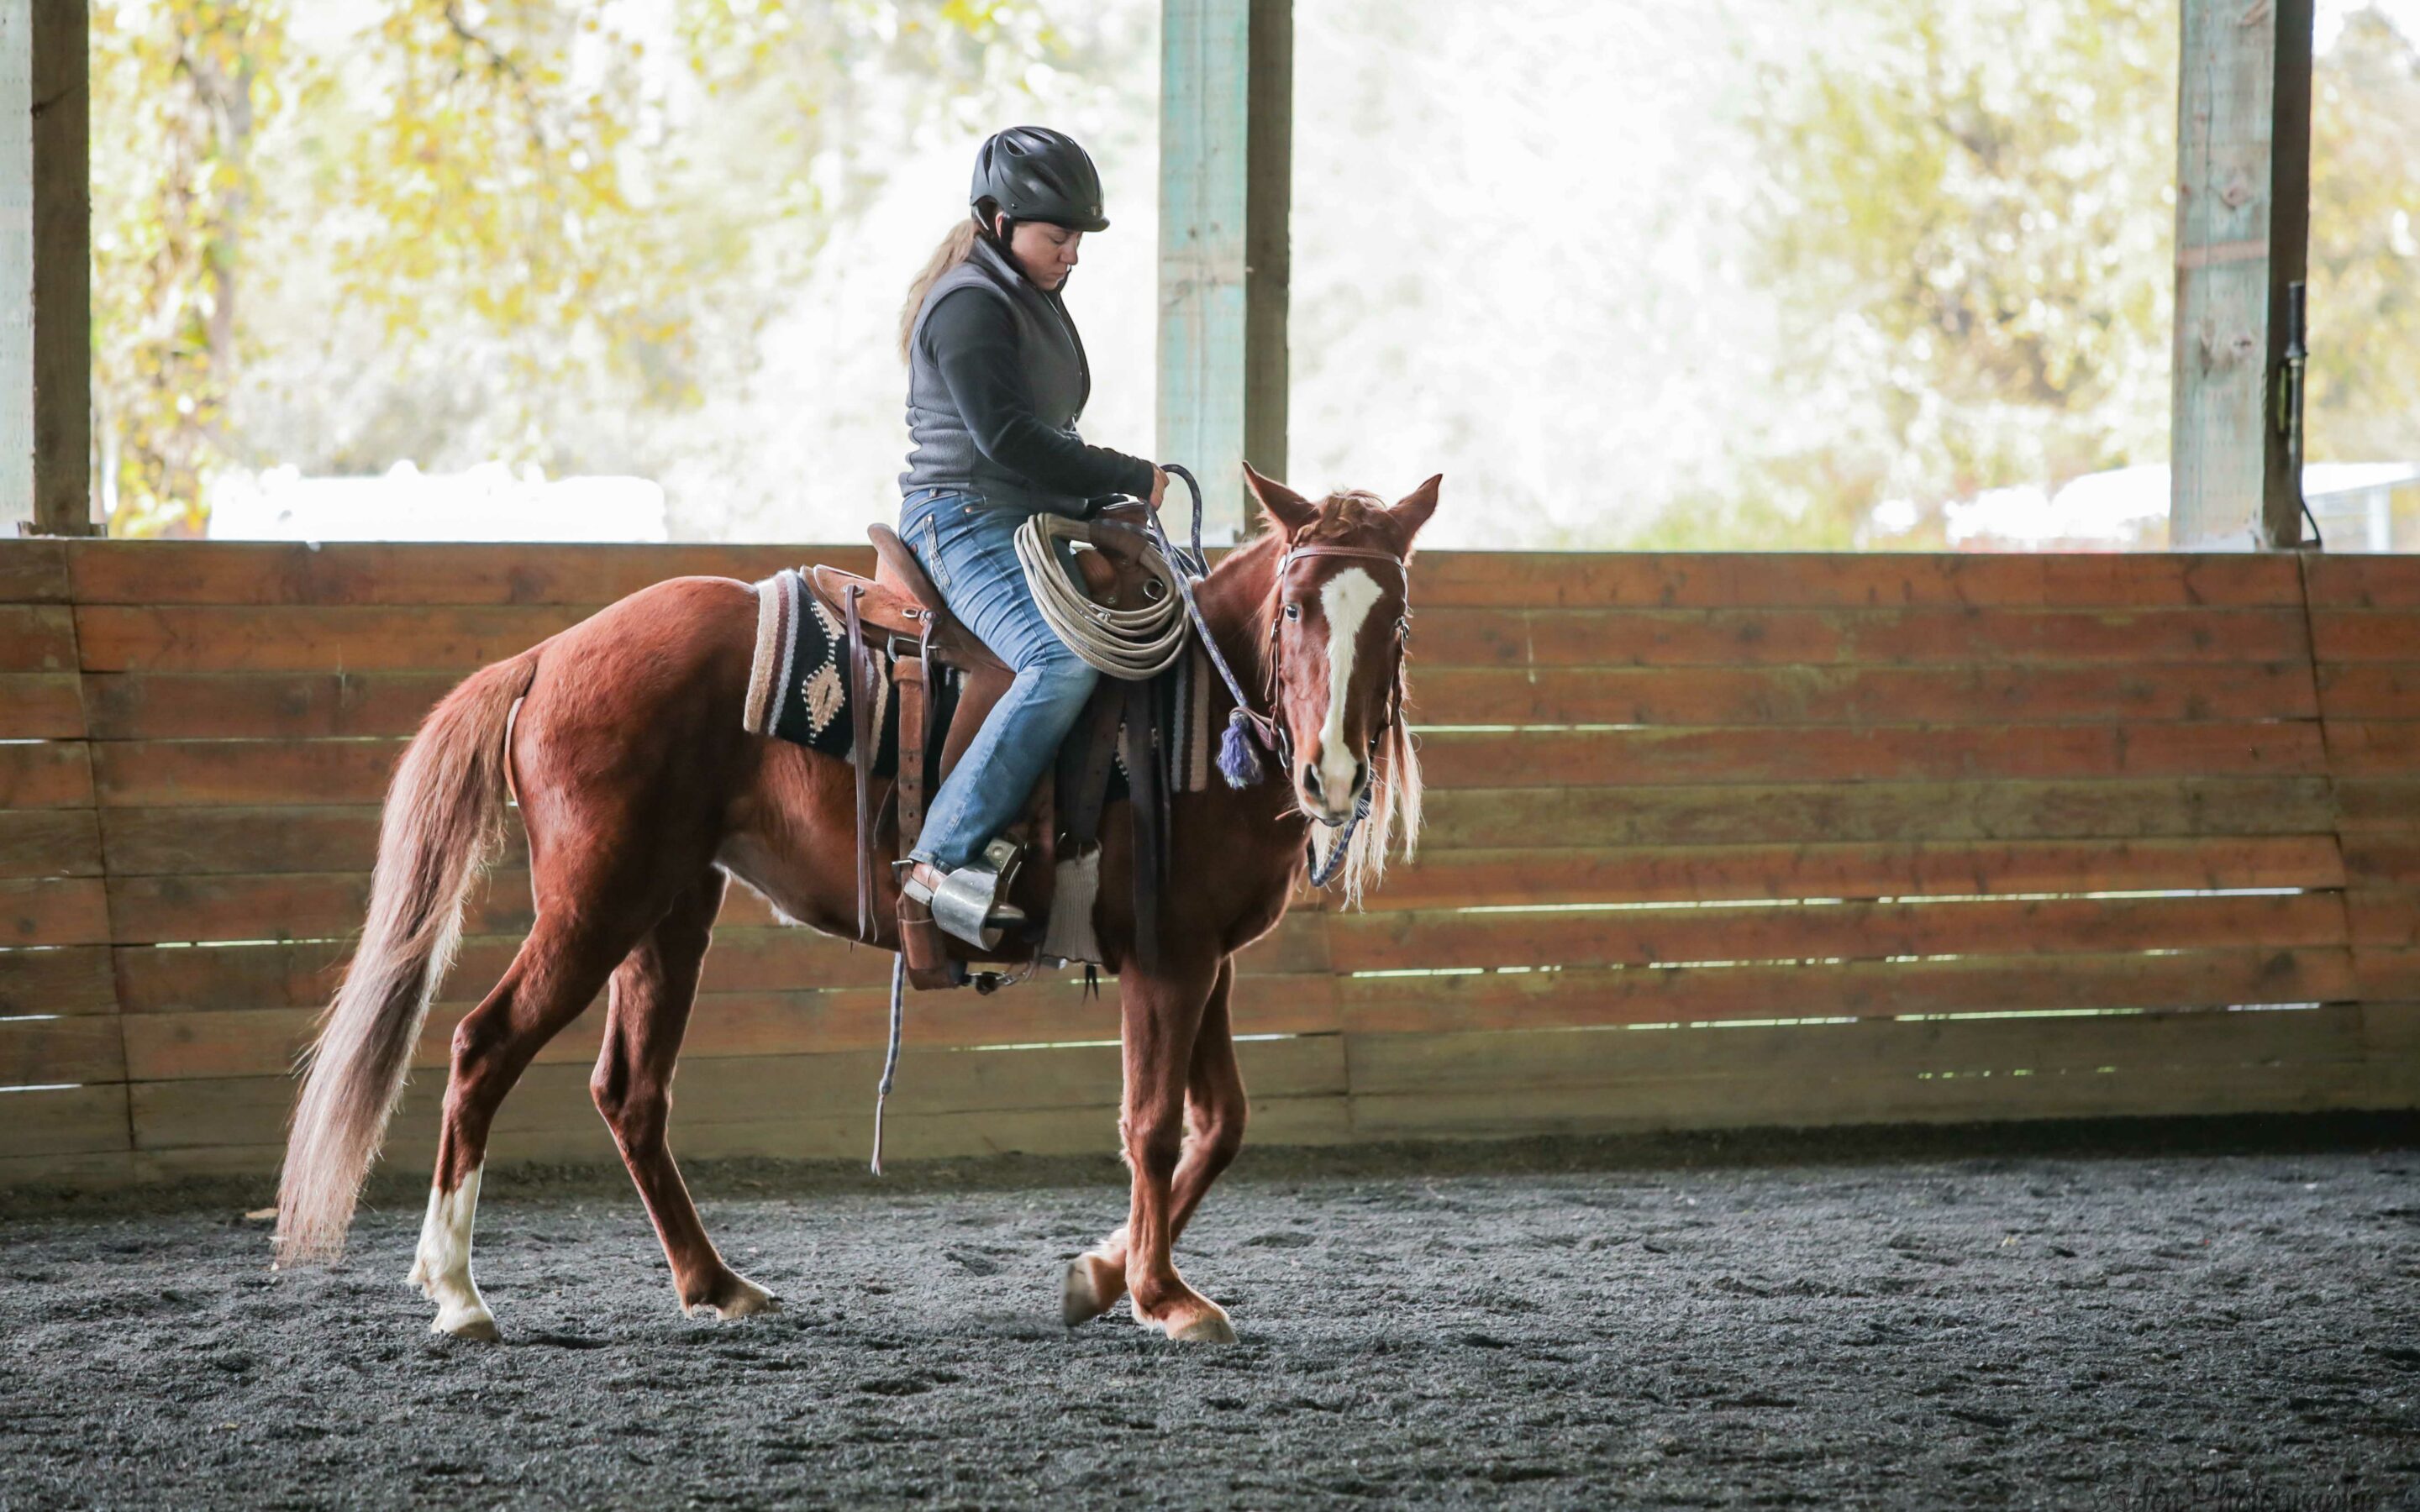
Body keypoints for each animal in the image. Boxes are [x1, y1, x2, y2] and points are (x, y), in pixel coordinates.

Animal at [274, 471, 1432, 1345]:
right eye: (1294, 608)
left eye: (1397, 615)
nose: (1332, 772)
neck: (1189, 705)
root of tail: (550, 654)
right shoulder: (1169, 961)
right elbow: (1150, 1127)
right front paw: (1159, 1297)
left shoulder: (1205, 959)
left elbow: (1220, 1124)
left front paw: (1101, 1277)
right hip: (593, 904)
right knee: (483, 1046)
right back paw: (459, 1293)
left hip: (669, 909)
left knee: (630, 1091)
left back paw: (714, 1285)